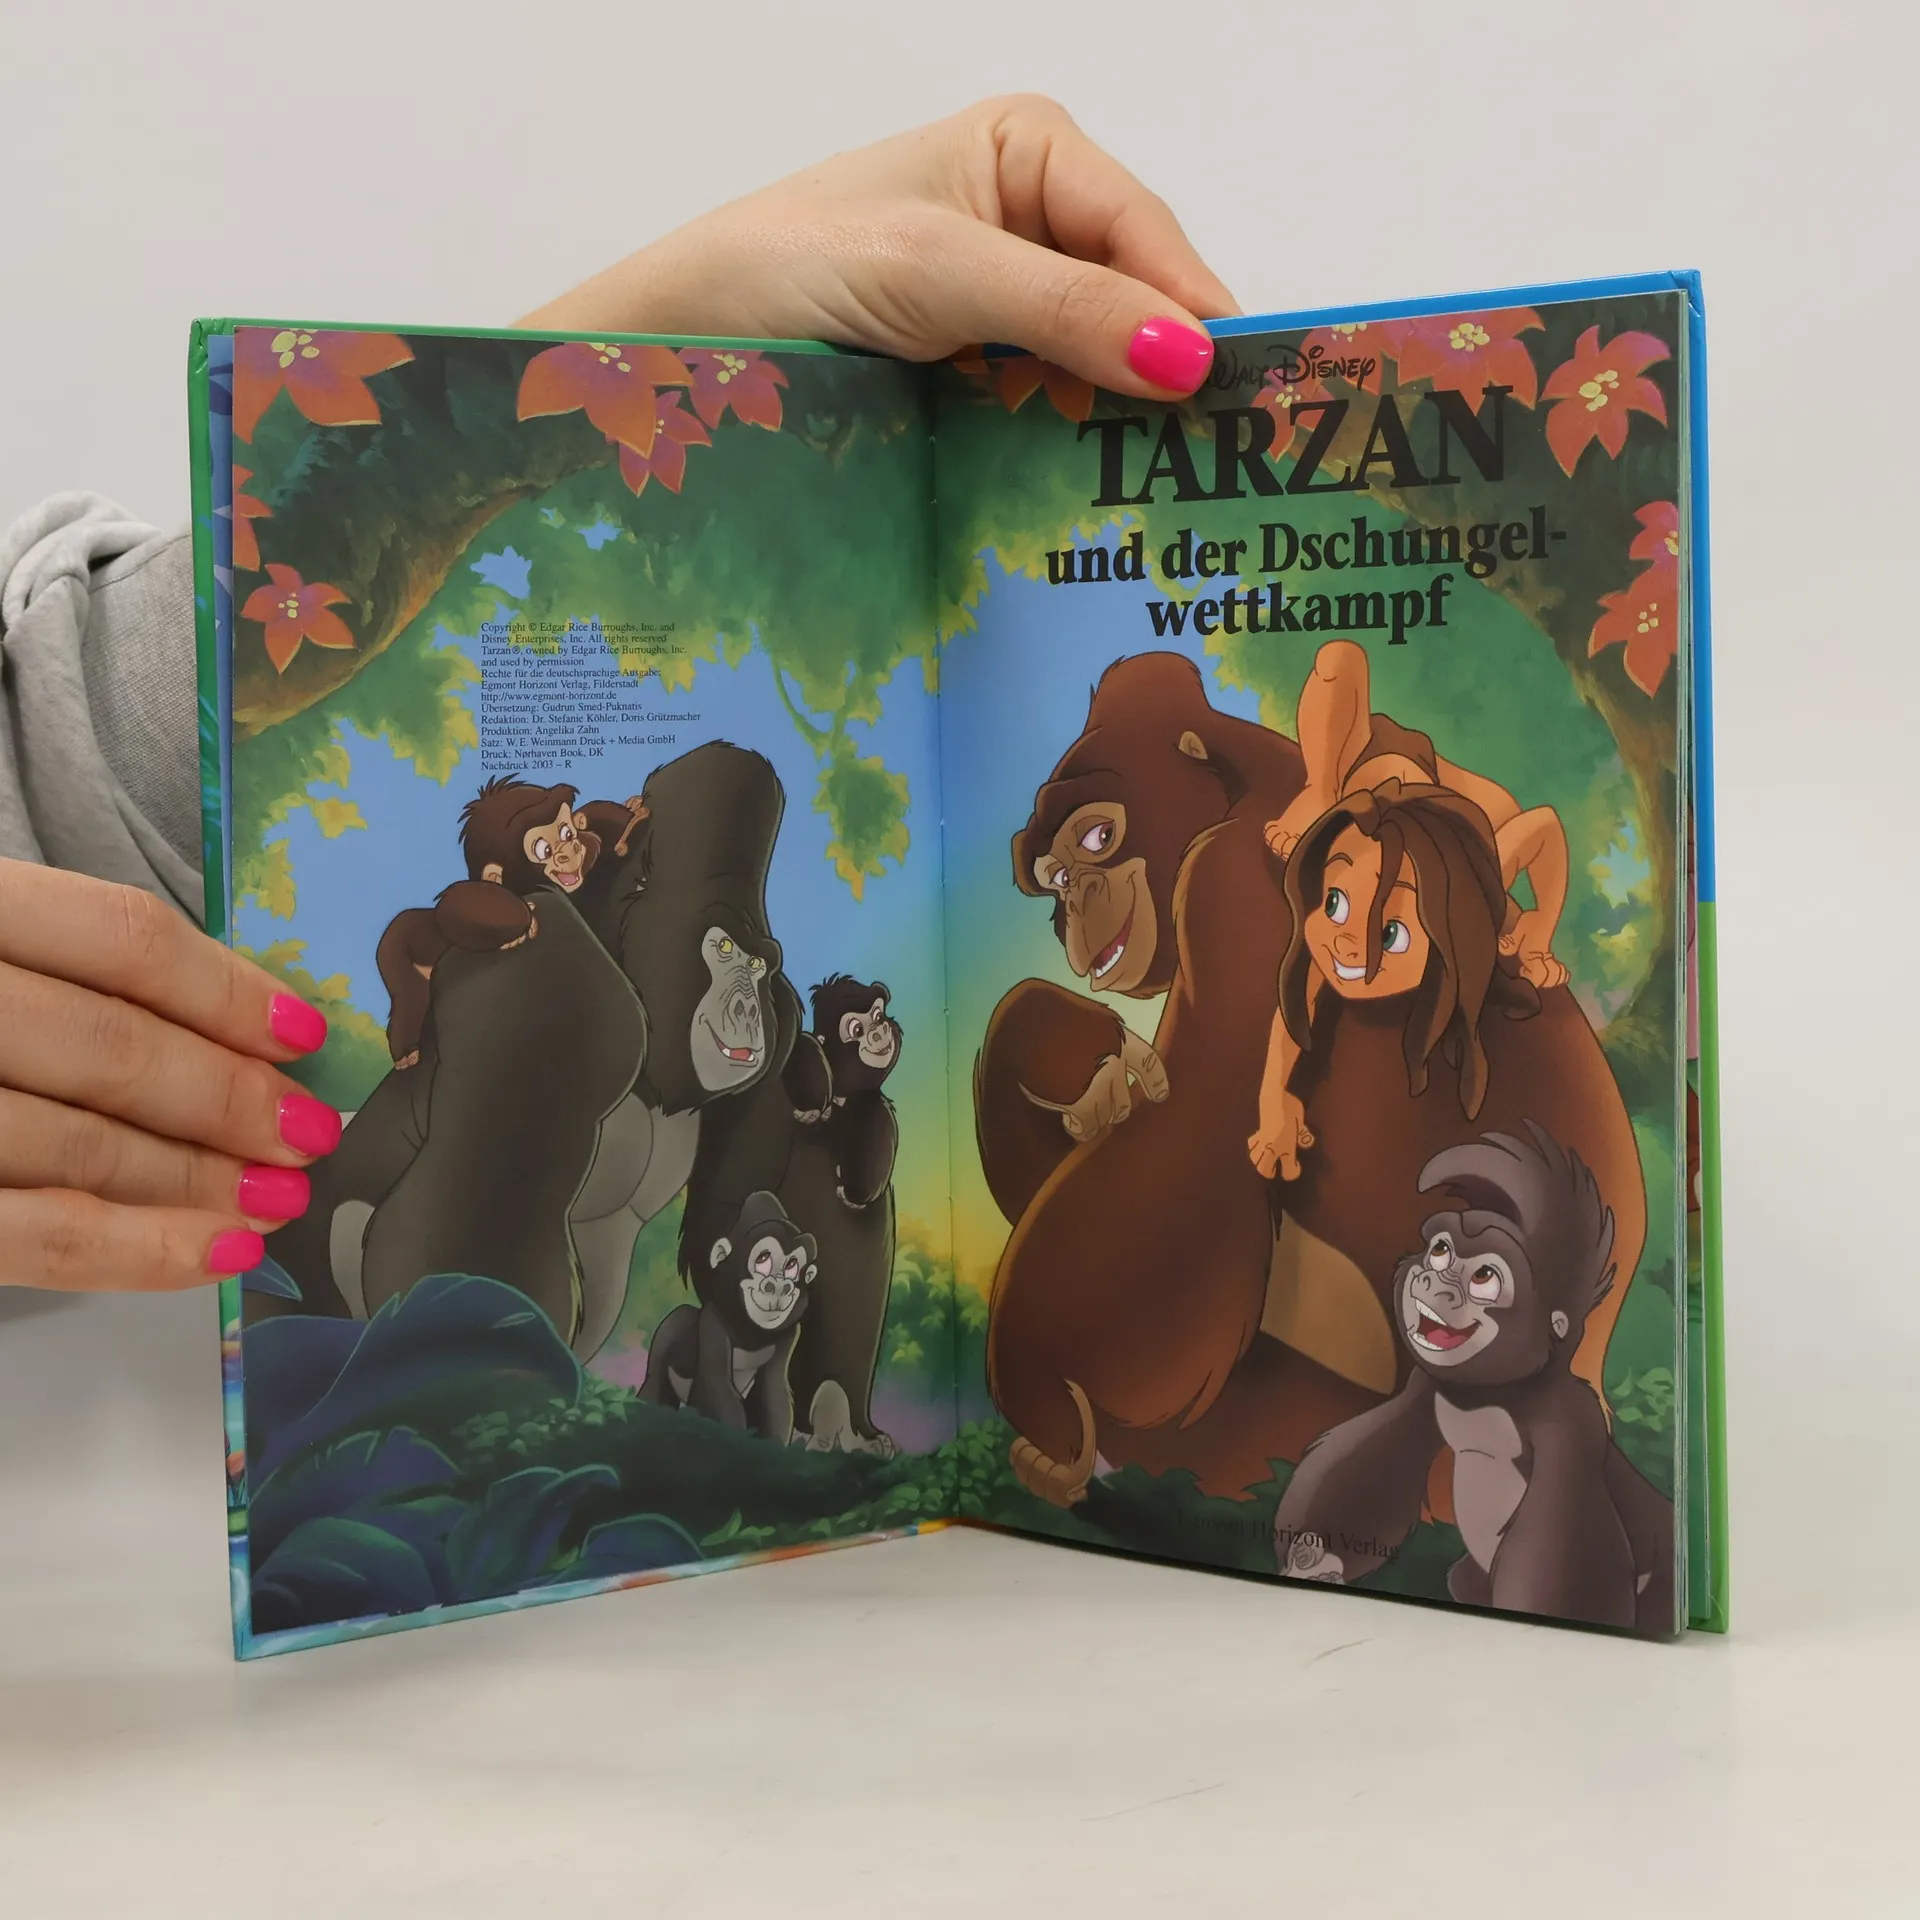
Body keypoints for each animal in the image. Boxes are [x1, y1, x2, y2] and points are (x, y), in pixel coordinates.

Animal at [374, 775, 603, 1067]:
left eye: (567, 833)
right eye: (544, 850)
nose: (570, 850)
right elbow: (453, 905)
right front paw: (521, 922)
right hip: (394, 951)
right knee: (408, 997)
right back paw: (405, 1052)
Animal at [641, 1190, 816, 1442]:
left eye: (792, 1265)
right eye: (763, 1259)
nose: (780, 1286)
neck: (749, 1331)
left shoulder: (790, 1334)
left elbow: (775, 1394)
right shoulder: (712, 1322)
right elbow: (715, 1388)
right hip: (668, 1331)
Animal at [1270, 1123, 1675, 1634]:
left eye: (1484, 1275)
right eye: (1441, 1250)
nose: (1432, 1281)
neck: (1496, 1395)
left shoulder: (1572, 1425)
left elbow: (1565, 1530)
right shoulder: (1427, 1388)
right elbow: (1379, 1454)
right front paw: (1317, 1558)